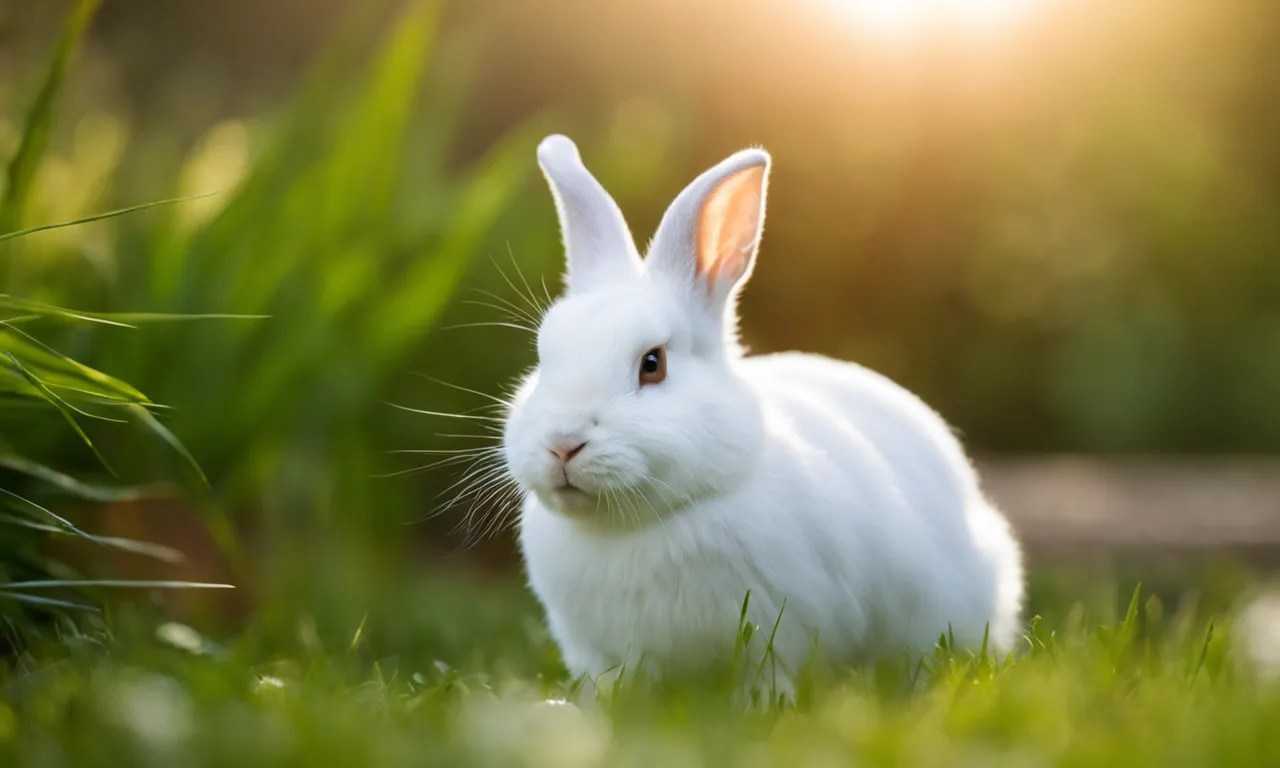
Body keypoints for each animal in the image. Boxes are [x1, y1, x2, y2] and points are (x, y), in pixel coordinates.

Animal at [502, 134, 1024, 694]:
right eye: (543, 356)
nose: (562, 443)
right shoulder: (595, 650)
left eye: (652, 363)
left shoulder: (779, 631)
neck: (634, 528)